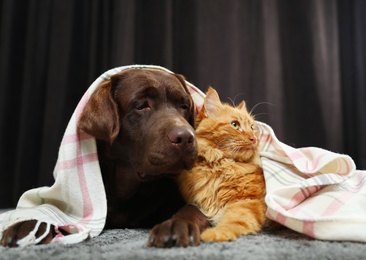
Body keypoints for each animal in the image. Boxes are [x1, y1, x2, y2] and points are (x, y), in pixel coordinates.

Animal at [177, 87, 266, 242]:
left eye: (252, 127)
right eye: (235, 125)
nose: (254, 138)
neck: (220, 165)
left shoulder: (247, 202)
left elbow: (234, 221)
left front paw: (213, 234)